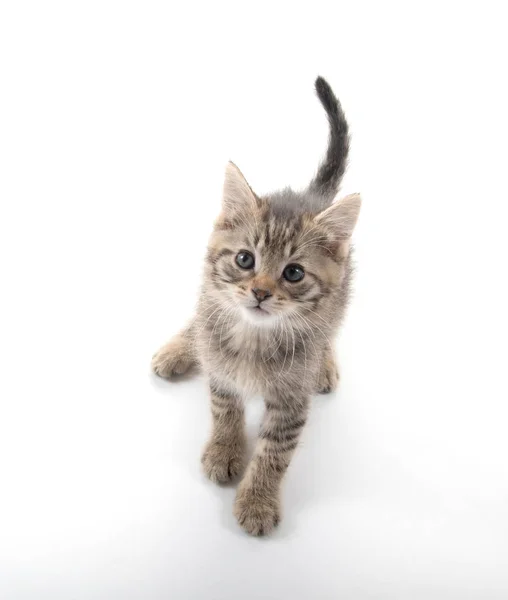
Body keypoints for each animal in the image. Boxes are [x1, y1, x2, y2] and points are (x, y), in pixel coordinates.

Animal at [152, 76, 362, 536]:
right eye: (246, 259)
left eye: (294, 273)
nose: (261, 292)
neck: (254, 336)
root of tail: (310, 195)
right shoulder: (220, 366)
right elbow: (224, 407)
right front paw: (225, 449)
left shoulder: (291, 400)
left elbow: (275, 452)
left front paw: (257, 500)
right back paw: (178, 349)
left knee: (330, 326)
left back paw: (324, 363)